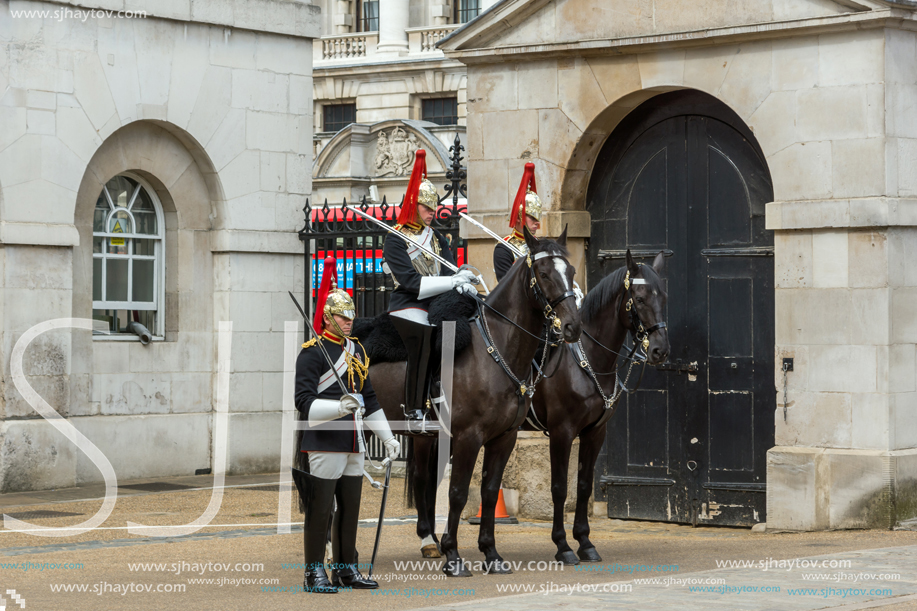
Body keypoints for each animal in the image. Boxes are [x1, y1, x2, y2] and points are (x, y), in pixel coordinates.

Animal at [366, 230, 576, 580]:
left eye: (571, 271)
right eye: (544, 274)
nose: (573, 326)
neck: (496, 349)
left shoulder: (504, 438)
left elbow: (489, 492)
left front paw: (491, 554)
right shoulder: (469, 437)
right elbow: (459, 492)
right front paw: (454, 556)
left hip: (426, 436)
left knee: (422, 479)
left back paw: (428, 541)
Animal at [524, 251, 668, 568]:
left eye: (664, 296)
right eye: (639, 299)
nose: (660, 350)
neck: (587, 359)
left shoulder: (595, 432)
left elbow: (584, 484)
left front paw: (585, 542)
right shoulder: (561, 432)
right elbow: (559, 487)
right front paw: (563, 545)